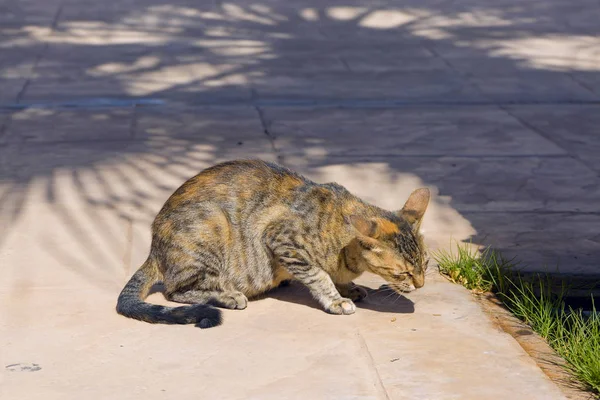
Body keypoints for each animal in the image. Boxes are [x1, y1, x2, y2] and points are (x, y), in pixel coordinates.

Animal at [115, 159, 428, 328]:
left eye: (425, 264)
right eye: (403, 273)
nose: (421, 284)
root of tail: (154, 249)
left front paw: (347, 286)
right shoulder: (281, 239)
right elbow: (318, 275)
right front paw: (336, 298)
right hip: (211, 224)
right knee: (175, 291)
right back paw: (227, 296)